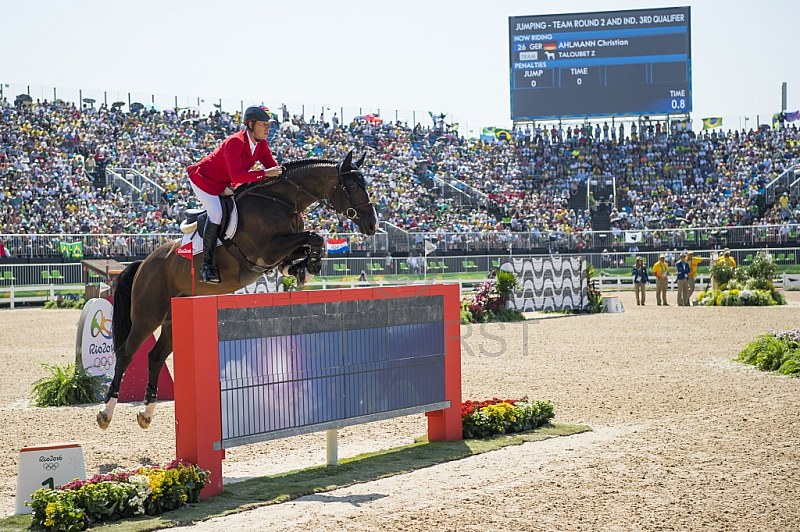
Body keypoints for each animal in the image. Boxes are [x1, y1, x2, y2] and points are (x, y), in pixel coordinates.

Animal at [97, 152, 378, 430]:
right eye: (353, 186)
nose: (372, 225)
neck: (283, 200)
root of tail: (144, 262)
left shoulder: (281, 250)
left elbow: (311, 243)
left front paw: (303, 269)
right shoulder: (268, 250)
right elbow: (314, 237)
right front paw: (306, 268)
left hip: (173, 319)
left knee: (155, 358)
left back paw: (146, 413)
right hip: (147, 316)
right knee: (125, 354)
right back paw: (106, 412)